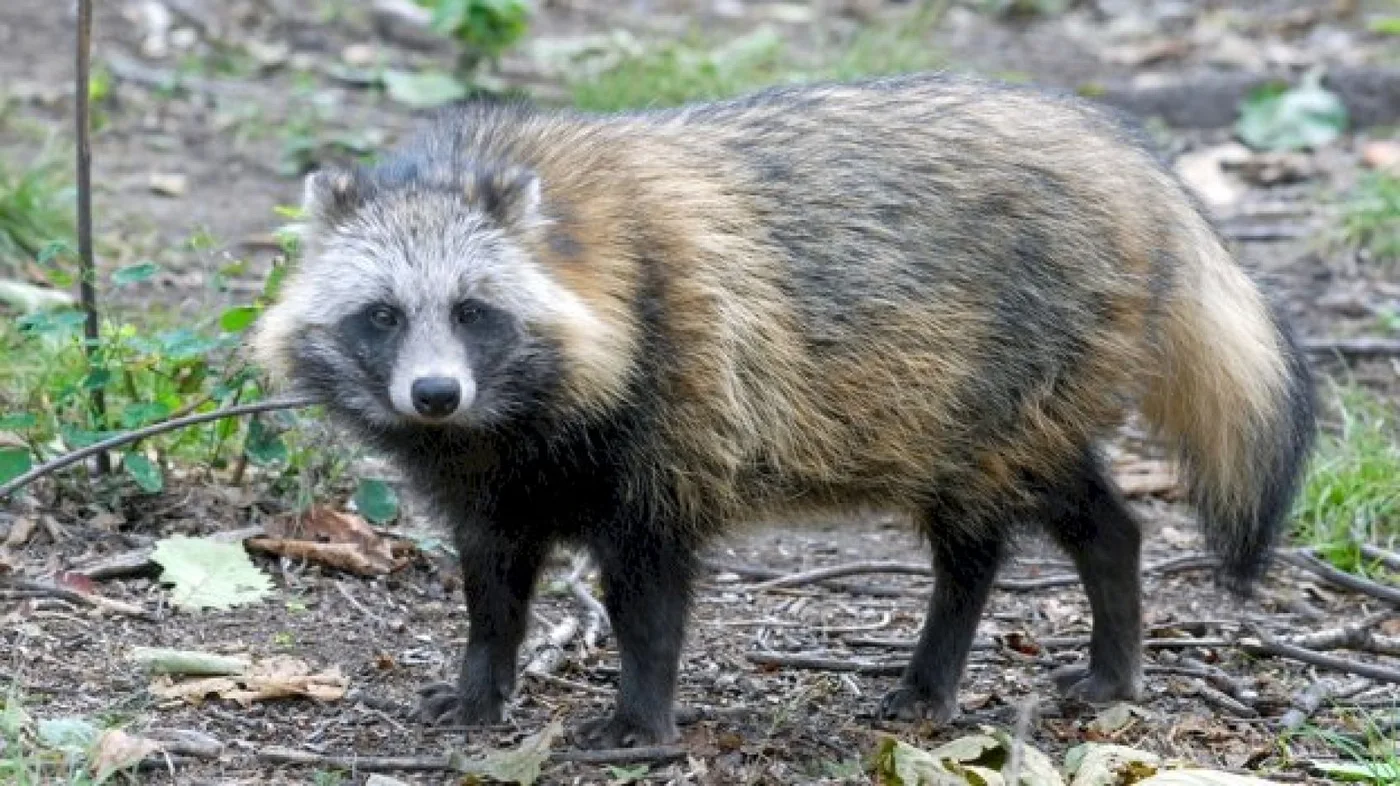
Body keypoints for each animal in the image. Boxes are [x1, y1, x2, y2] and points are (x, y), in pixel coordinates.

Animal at [249, 72, 1310, 745]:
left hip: (1011, 381)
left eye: (473, 312)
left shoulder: (675, 408)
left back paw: (961, 660)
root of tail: (1130, 157)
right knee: (1070, 525)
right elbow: (492, 582)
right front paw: (482, 682)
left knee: (1000, 534)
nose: (434, 395)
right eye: (383, 316)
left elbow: (648, 592)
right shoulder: (491, 480)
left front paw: (641, 715)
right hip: (983, 408)